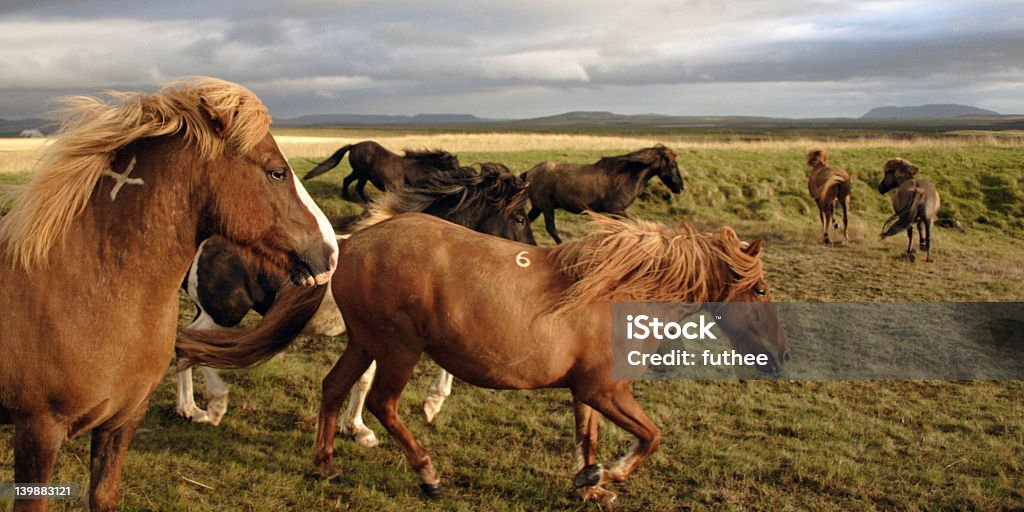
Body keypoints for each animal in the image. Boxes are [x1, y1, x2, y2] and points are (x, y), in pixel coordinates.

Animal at [176, 210, 786, 503]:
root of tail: (350, 245)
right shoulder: (608, 390)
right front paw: (611, 474)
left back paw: (325, 466)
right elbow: (652, 437)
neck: (615, 291)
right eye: (759, 289)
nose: (781, 353)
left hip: (364, 342)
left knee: (333, 389)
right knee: (382, 404)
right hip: (398, 348)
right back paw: (428, 476)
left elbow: (587, 436)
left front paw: (591, 482)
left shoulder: (587, 390)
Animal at [179, 161, 536, 434]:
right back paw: (212, 408)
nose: (532, 257)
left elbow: (364, 380)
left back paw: (188, 409)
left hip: (208, 311)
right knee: (191, 346)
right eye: (519, 218)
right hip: (223, 312)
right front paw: (428, 406)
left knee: (183, 343)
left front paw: (356, 427)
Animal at [301, 142, 458, 203]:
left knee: (347, 181)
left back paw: (348, 197)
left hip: (359, 173)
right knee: (357, 186)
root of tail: (354, 146)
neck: (416, 170)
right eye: (453, 166)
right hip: (362, 173)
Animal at [524, 144, 684, 243]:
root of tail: (530, 173)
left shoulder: (616, 212)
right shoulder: (617, 210)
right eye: (672, 165)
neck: (624, 176)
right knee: (551, 228)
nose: (680, 187)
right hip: (546, 207)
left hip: (538, 207)